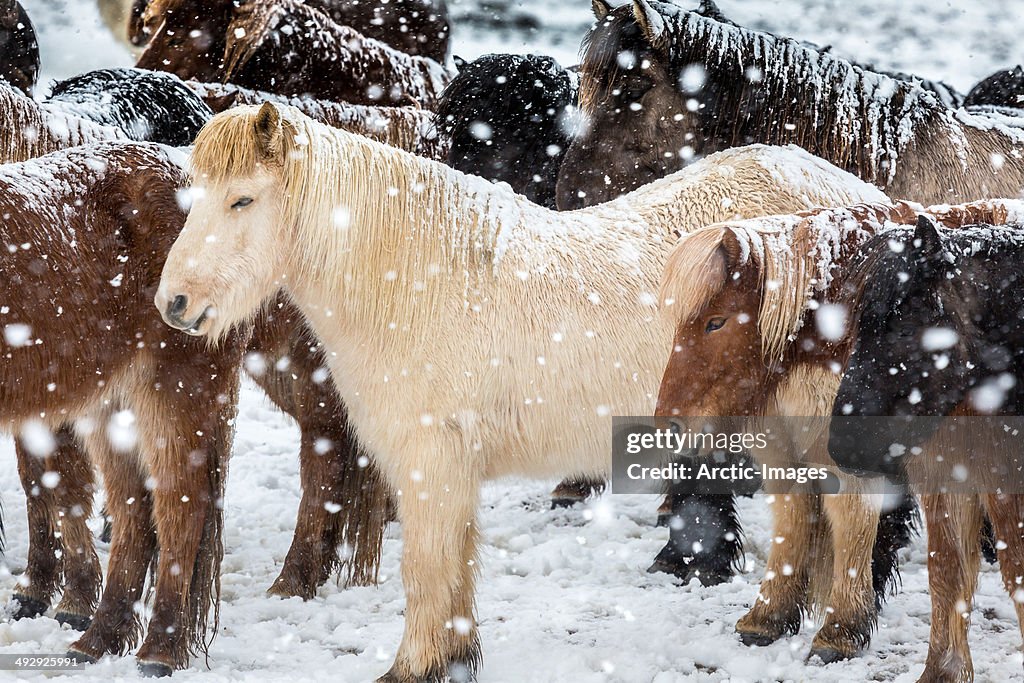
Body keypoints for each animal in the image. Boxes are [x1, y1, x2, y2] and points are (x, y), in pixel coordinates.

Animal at [1, 141, 244, 675]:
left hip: (172, 395)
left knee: (178, 508)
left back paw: (157, 651)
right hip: (110, 405)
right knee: (133, 512)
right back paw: (97, 639)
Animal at [153, 102, 888, 683]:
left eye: (243, 199)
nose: (174, 304)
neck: (414, 281)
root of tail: (864, 210)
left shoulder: (431, 461)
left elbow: (426, 566)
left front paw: (411, 667)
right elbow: (453, 567)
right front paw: (452, 659)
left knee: (850, 513)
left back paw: (838, 634)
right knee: (797, 507)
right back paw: (767, 621)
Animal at [651, 200, 1019, 663]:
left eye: (716, 322)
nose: (669, 423)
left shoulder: (846, 454)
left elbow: (851, 523)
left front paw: (841, 629)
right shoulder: (784, 450)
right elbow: (791, 521)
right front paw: (767, 617)